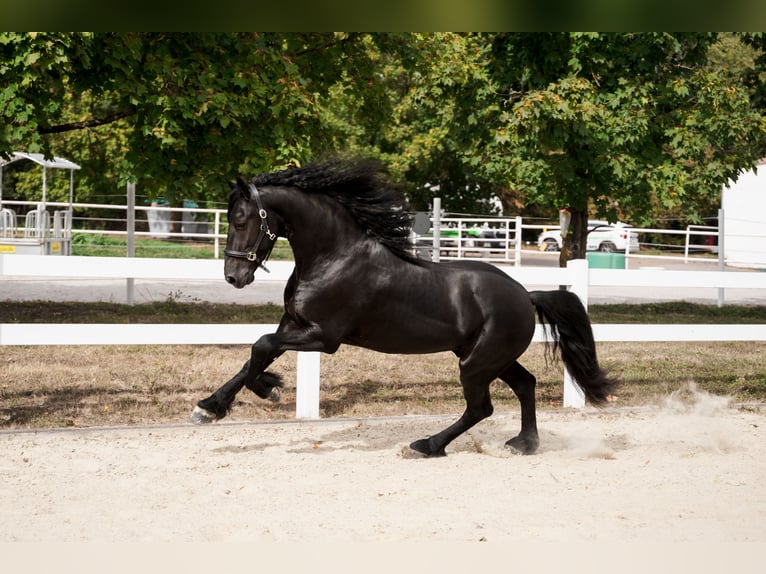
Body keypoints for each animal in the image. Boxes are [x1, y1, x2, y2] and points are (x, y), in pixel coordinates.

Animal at [191, 158, 618, 456]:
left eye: (241, 220)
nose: (233, 276)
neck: (333, 257)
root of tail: (525, 295)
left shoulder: (324, 337)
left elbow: (260, 346)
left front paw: (262, 391)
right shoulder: (292, 325)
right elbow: (255, 355)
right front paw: (215, 405)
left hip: (477, 364)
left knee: (481, 408)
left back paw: (428, 446)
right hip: (488, 358)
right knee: (525, 386)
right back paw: (523, 444)